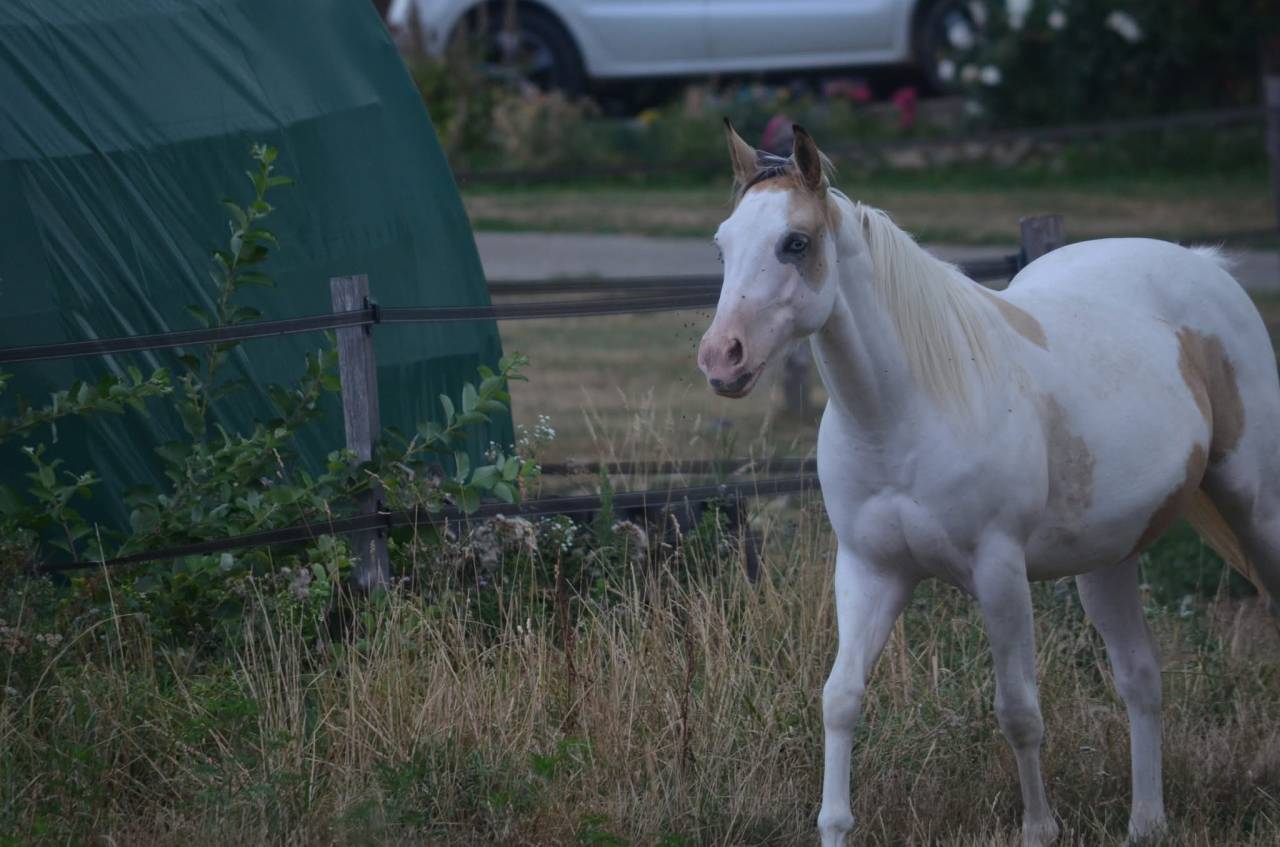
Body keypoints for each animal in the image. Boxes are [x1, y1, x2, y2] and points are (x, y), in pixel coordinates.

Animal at [696, 121, 1279, 846]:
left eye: (795, 242)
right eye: (723, 242)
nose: (722, 358)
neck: (905, 412)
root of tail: (1208, 266)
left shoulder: (999, 572)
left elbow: (1018, 710)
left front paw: (1040, 828)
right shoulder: (869, 570)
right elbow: (840, 697)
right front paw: (834, 826)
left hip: (1258, 510)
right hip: (1108, 559)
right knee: (1141, 677)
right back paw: (1146, 822)